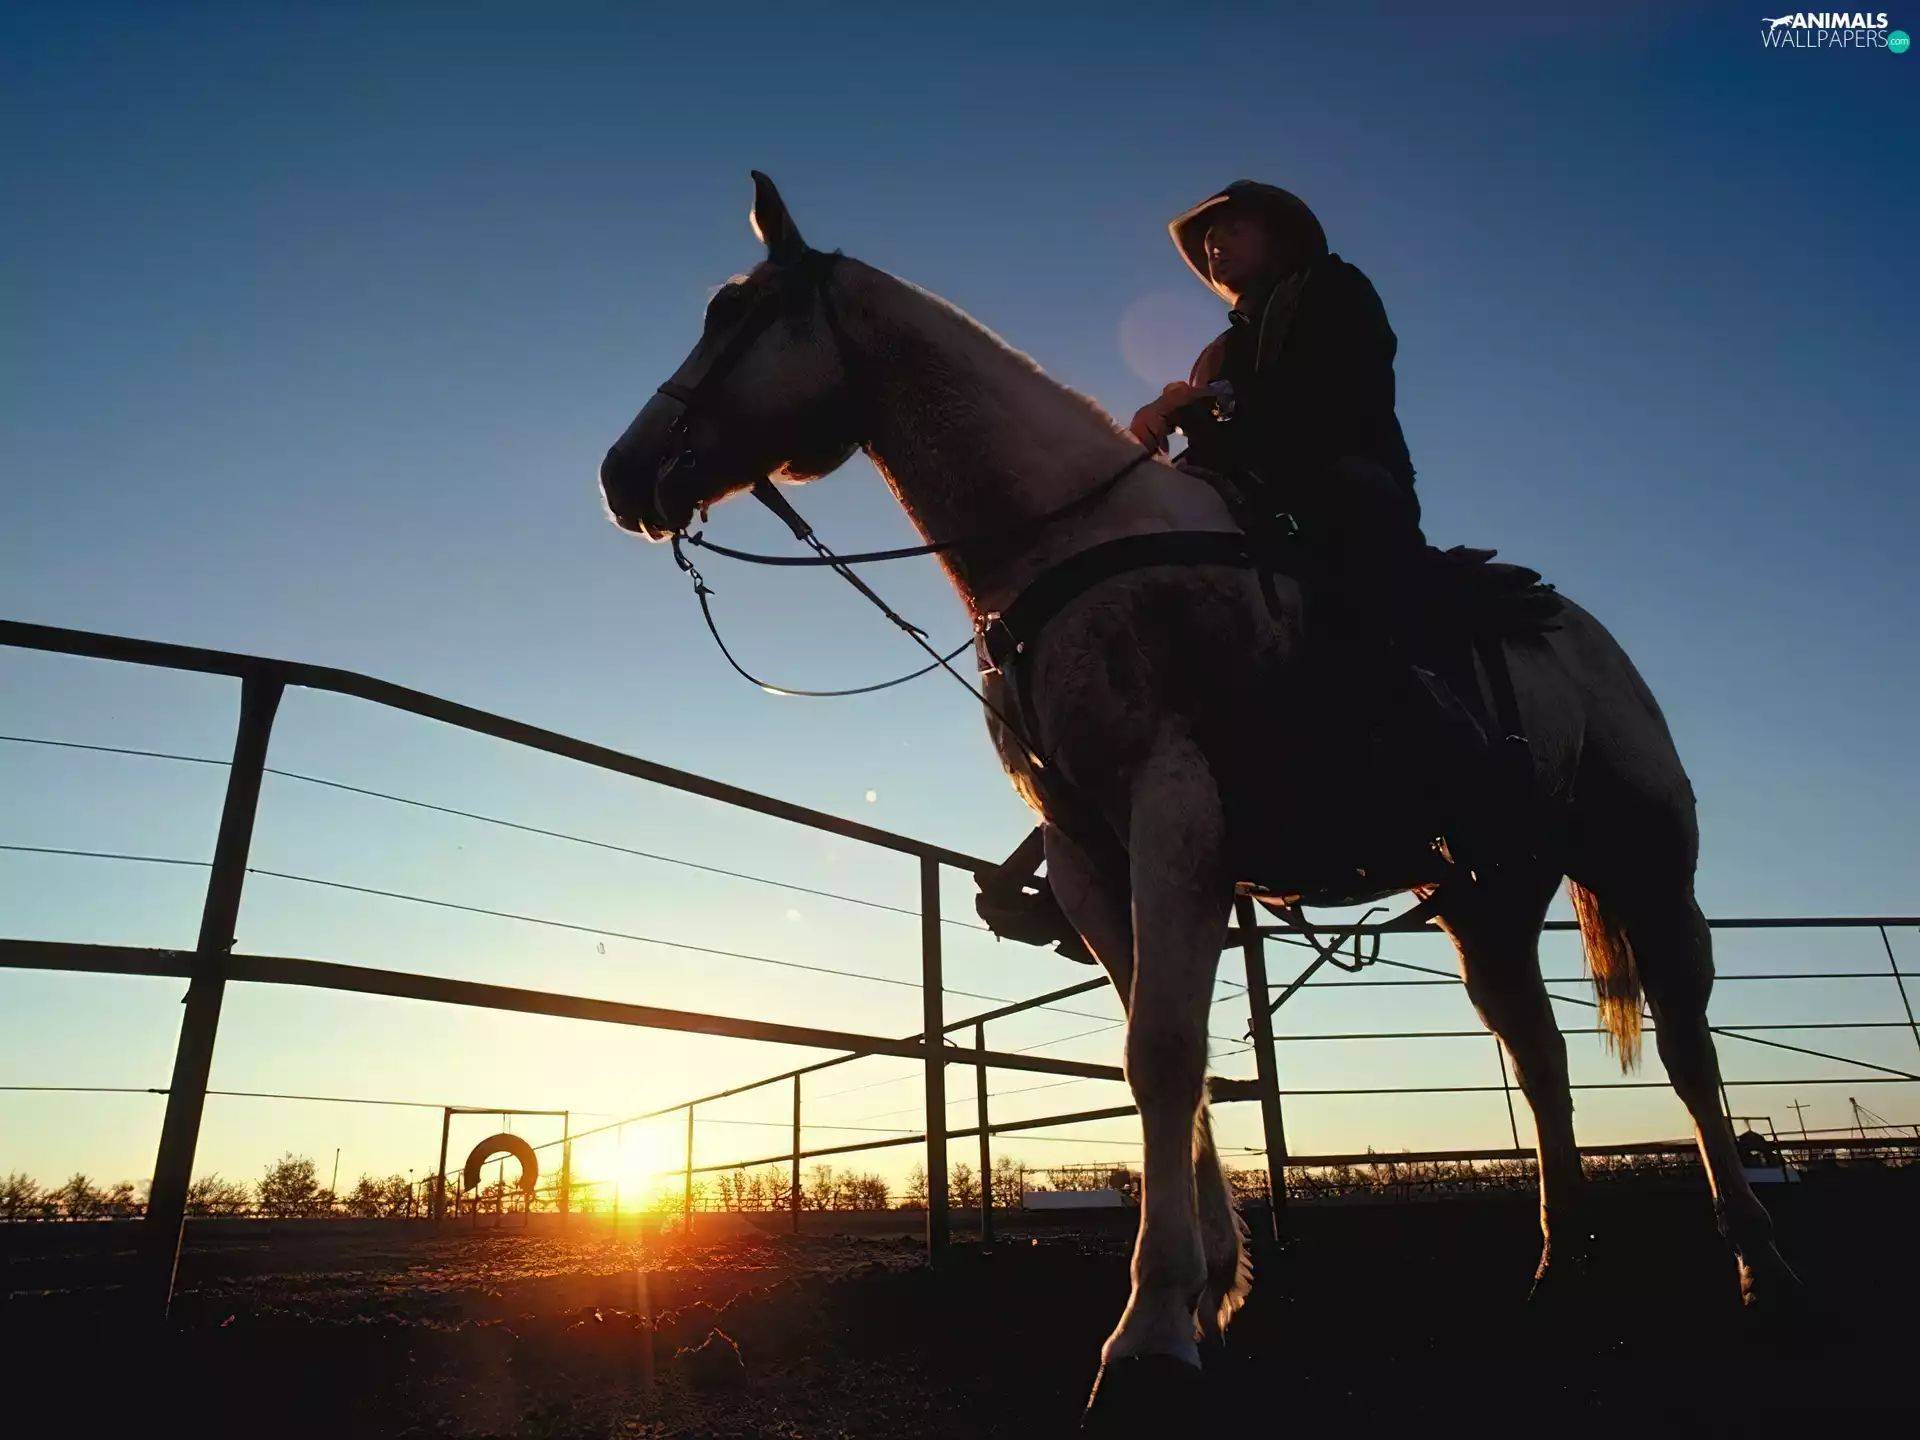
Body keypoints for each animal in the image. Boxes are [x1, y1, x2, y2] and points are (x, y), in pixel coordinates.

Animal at [597, 173, 1798, 1418]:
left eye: (732, 309)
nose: (622, 475)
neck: (1070, 545)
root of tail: (1585, 637)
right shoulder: (1093, 854)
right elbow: (1161, 1051)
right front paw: (1214, 1285)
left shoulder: (1174, 816)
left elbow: (1164, 1051)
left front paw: (1152, 1328)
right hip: (1488, 898)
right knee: (1542, 1060)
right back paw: (1562, 1271)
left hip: (1647, 868)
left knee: (1690, 1055)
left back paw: (1760, 1265)